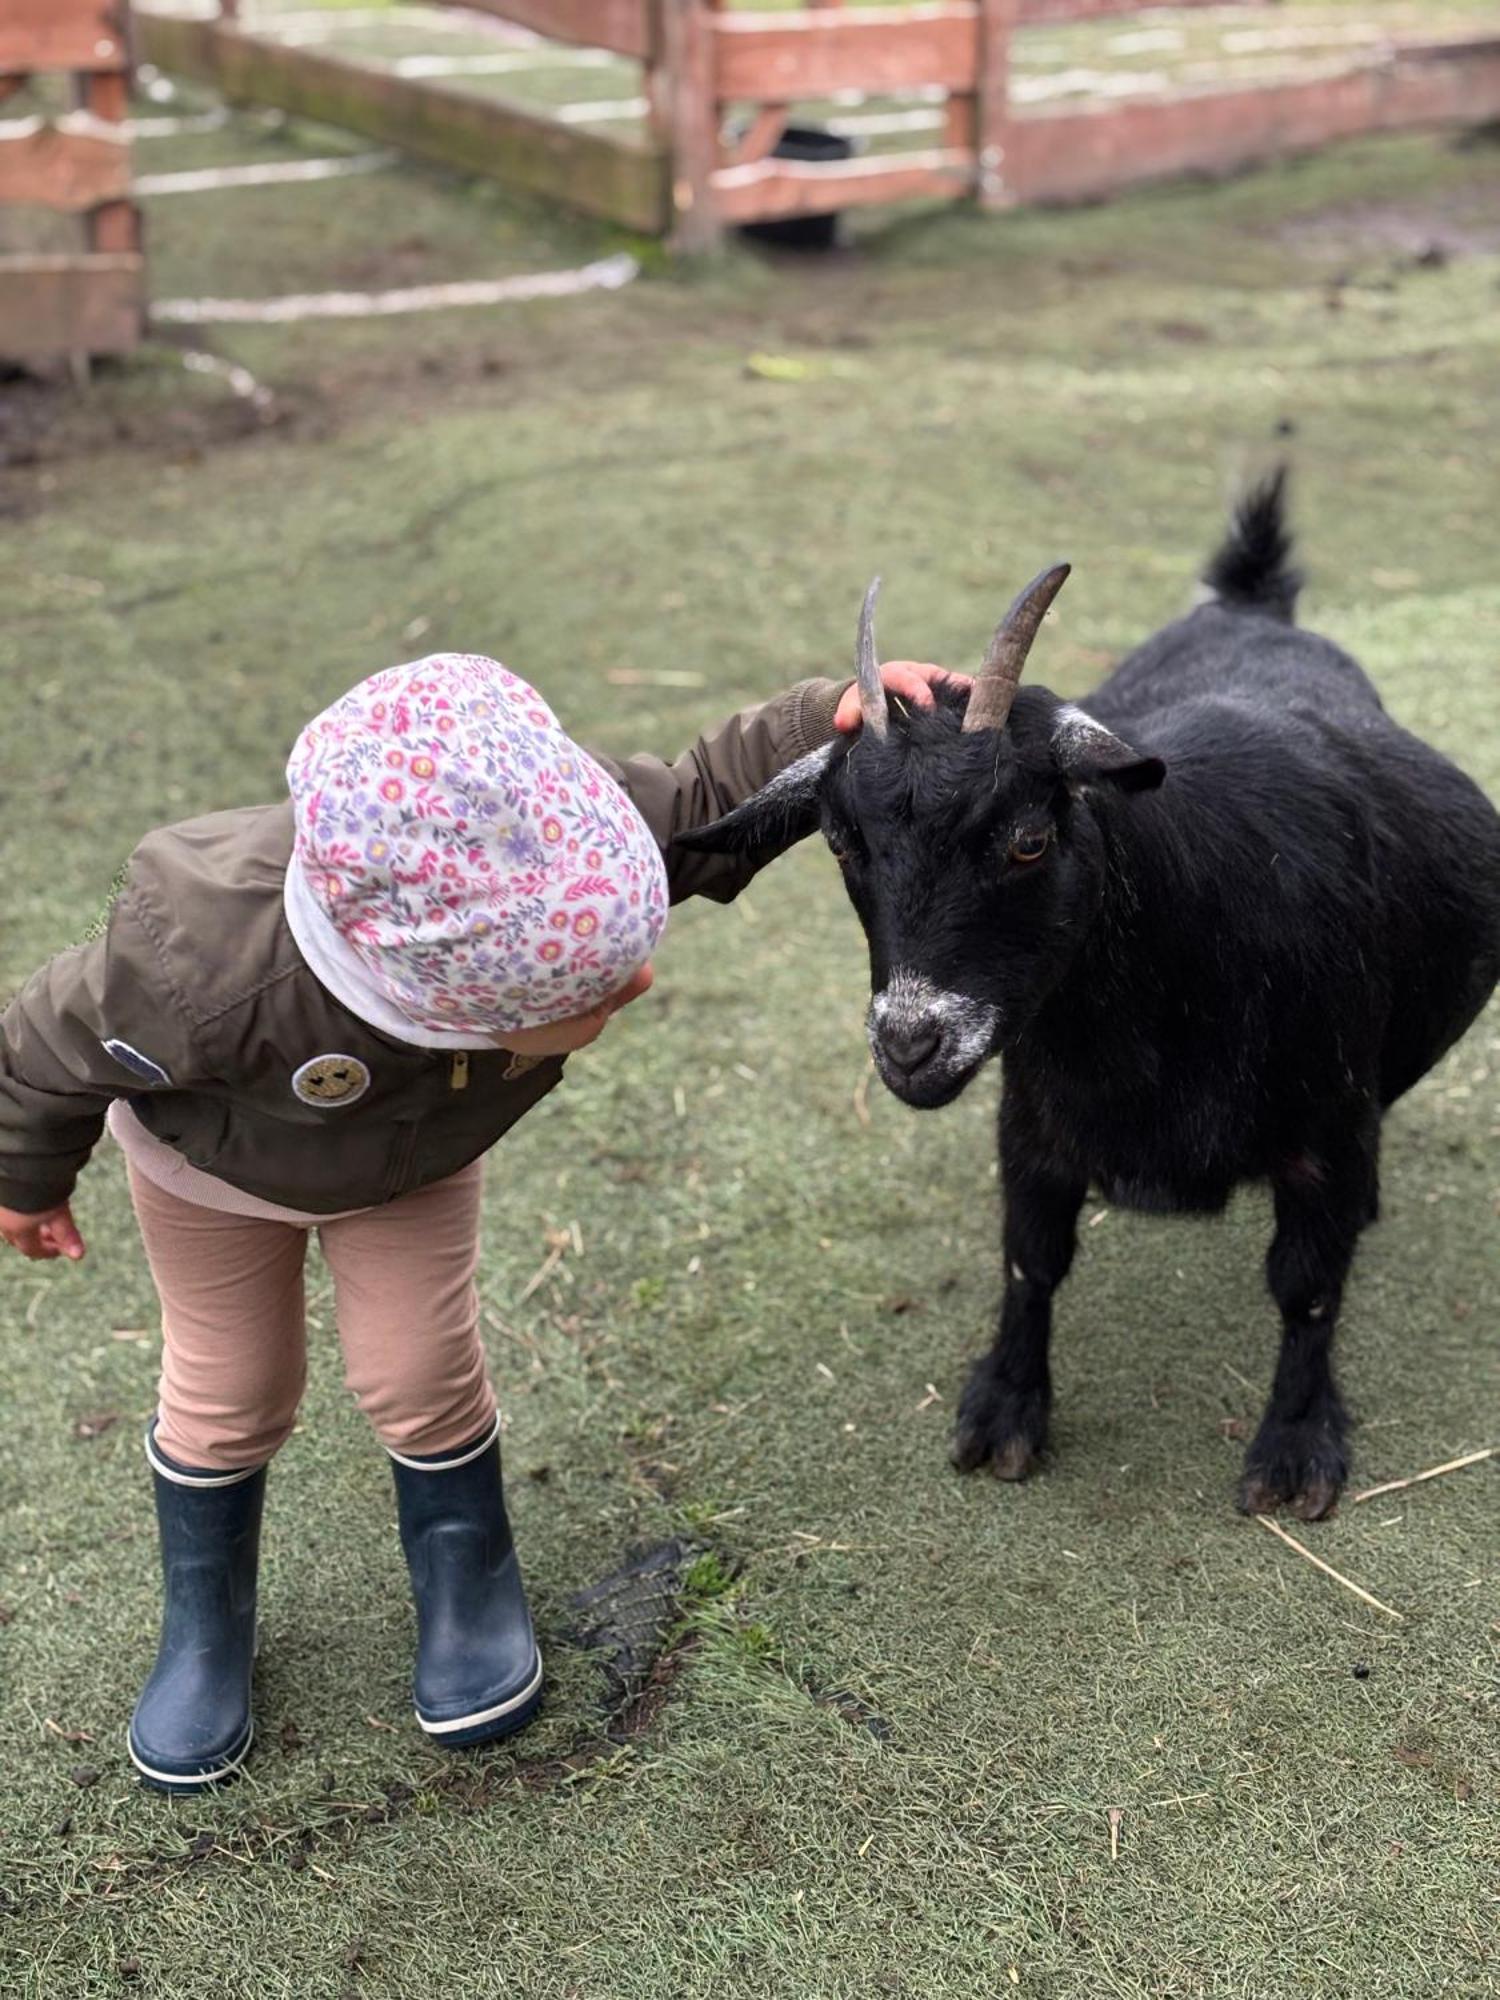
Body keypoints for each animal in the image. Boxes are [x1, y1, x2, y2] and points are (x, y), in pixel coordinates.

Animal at [684, 476, 1500, 1512]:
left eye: (1030, 839)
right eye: (838, 841)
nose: (909, 1046)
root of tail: (1251, 606)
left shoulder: (1329, 1124)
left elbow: (1307, 1285)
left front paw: (1296, 1445)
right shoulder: (1034, 1114)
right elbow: (1032, 1255)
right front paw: (1004, 1409)